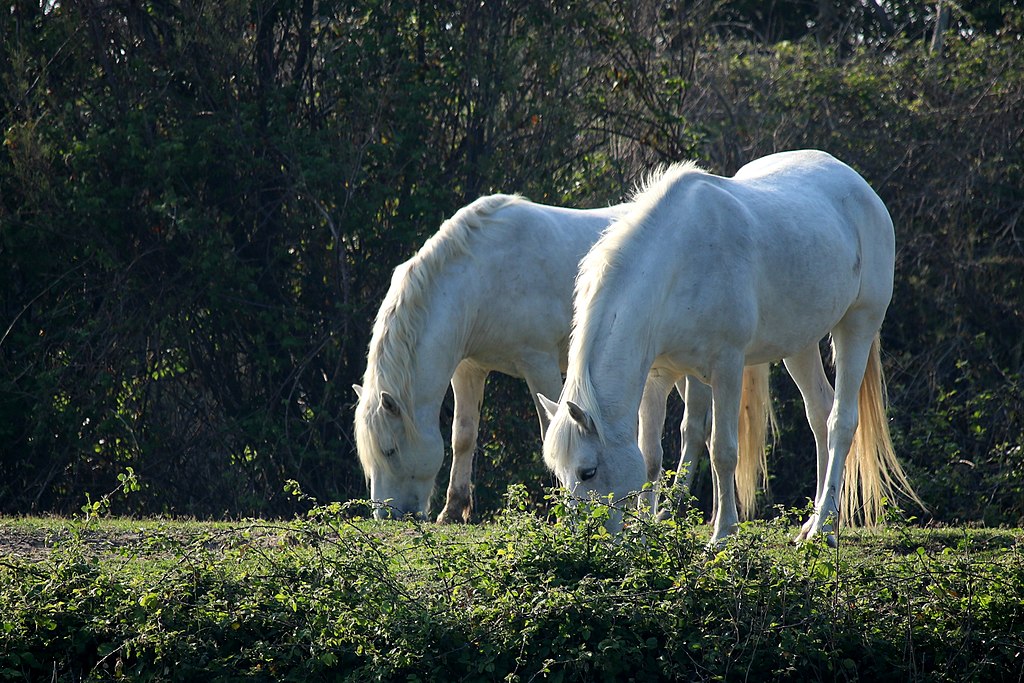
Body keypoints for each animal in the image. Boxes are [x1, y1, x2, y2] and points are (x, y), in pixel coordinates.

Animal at [356, 196, 770, 524]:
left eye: (389, 450)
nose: (386, 516)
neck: (482, 274)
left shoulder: (536, 362)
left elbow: (546, 434)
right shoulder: (468, 367)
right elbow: (463, 435)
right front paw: (454, 509)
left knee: (695, 429)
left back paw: (676, 510)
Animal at [540, 149, 925, 544]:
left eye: (587, 472)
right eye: (559, 474)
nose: (582, 541)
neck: (678, 261)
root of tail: (859, 186)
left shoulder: (727, 367)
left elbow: (723, 451)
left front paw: (723, 533)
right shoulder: (659, 374)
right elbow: (650, 456)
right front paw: (646, 532)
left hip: (857, 327)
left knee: (841, 423)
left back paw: (825, 526)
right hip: (798, 346)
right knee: (819, 414)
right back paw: (812, 520)